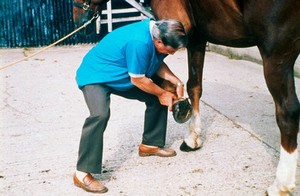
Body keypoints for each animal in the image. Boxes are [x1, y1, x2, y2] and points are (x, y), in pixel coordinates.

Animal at [73, 0, 300, 194]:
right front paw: (192, 135)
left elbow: (179, 83)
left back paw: (280, 185)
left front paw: (190, 135)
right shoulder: (198, 38)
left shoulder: (182, 35)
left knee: (287, 111)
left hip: (275, 55)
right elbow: (194, 85)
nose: (78, 20)